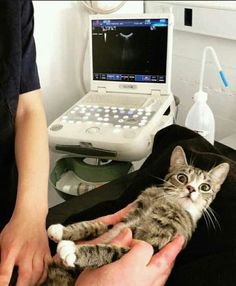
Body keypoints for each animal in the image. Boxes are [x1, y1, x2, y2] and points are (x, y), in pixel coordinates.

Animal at [45, 146, 229, 284]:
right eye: (182, 177)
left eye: (205, 187)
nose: (191, 189)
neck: (170, 202)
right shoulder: (125, 218)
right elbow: (98, 225)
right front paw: (62, 230)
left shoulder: (153, 245)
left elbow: (111, 250)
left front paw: (73, 251)